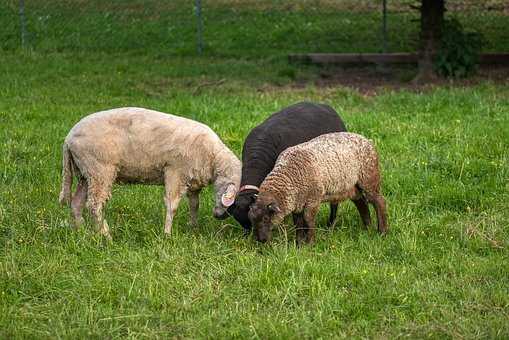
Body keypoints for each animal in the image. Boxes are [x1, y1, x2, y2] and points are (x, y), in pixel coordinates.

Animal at [58, 107, 241, 238]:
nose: (219, 217)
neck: (214, 157)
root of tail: (68, 139)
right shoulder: (175, 172)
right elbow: (172, 206)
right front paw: (167, 234)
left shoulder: (193, 180)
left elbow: (194, 204)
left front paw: (193, 228)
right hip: (100, 170)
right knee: (94, 205)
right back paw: (106, 236)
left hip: (86, 173)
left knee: (77, 203)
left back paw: (82, 232)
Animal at [226, 101, 370, 232]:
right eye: (241, 221)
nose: (250, 236)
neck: (256, 161)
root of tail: (327, 107)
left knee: (336, 202)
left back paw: (331, 225)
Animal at [248, 131, 386, 244]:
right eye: (251, 219)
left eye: (266, 218)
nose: (260, 240)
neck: (290, 175)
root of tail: (367, 140)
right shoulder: (298, 203)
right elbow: (298, 223)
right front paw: (299, 244)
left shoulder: (313, 199)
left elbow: (308, 220)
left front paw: (310, 243)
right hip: (352, 186)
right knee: (361, 201)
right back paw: (367, 228)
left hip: (369, 178)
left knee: (379, 201)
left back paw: (382, 231)